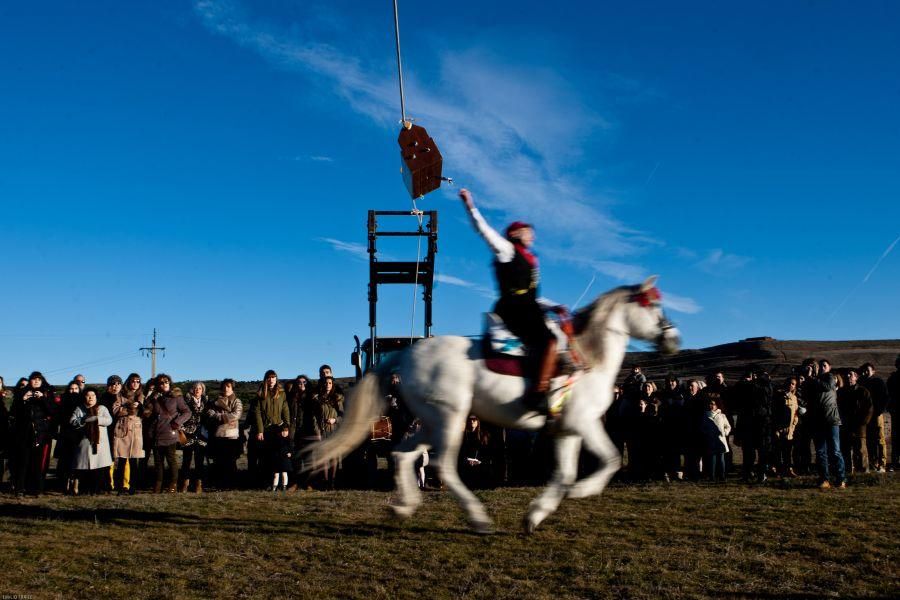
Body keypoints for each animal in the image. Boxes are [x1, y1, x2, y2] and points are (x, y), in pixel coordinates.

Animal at [306, 276, 680, 536]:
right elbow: (610, 460)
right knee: (443, 467)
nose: (673, 339)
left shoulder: (568, 430)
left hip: (430, 422)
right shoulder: (584, 424)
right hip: (449, 419)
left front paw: (535, 515)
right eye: (653, 306)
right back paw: (478, 519)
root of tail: (409, 353)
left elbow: (566, 473)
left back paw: (403, 508)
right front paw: (582, 492)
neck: (588, 359)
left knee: (402, 455)